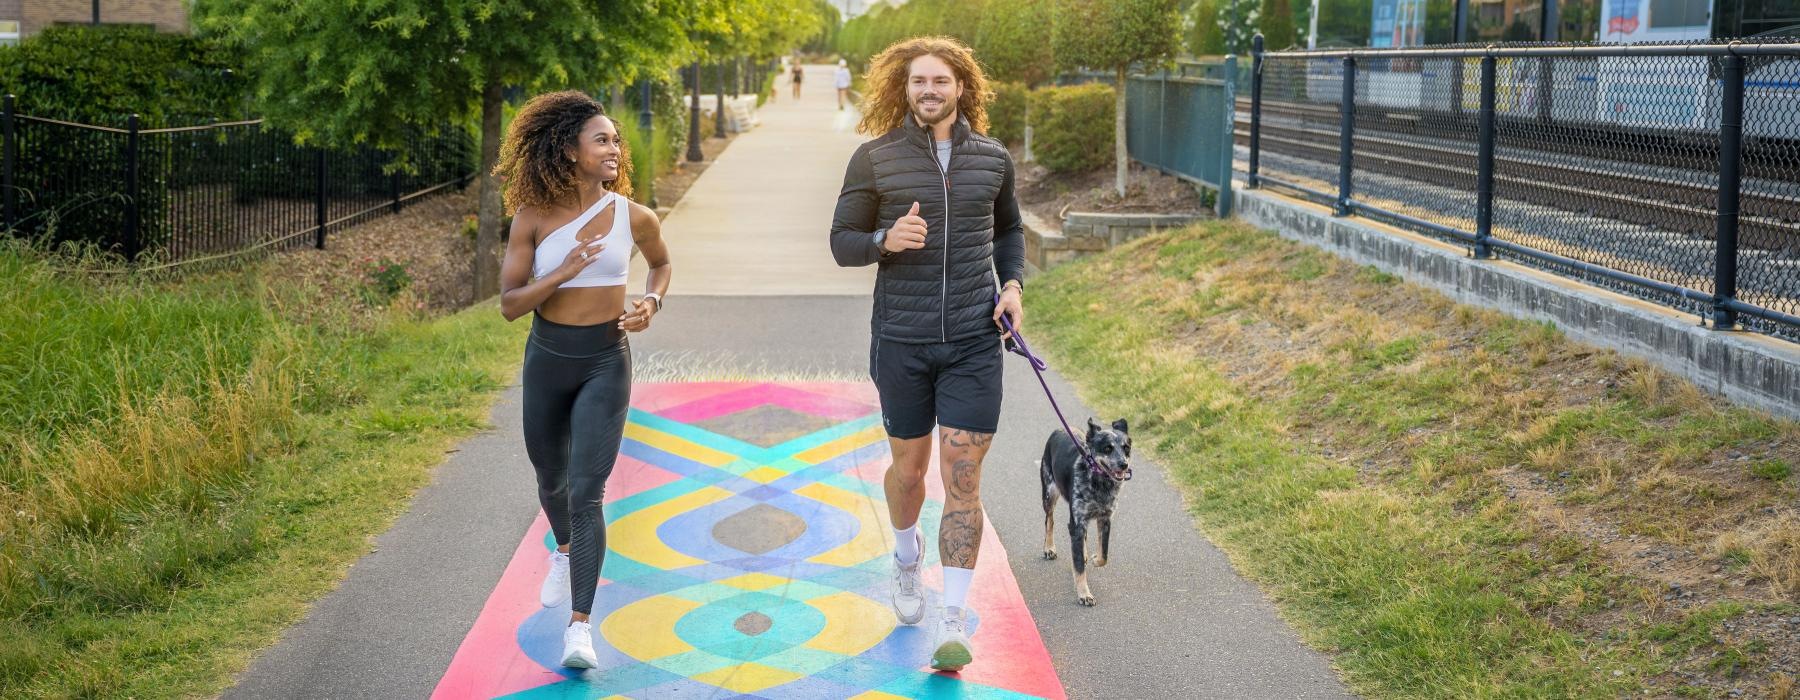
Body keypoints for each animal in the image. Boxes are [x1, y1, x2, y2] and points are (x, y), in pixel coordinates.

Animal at [1036, 417, 1130, 601]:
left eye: (1126, 448)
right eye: (1107, 448)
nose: (1124, 464)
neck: (1100, 484)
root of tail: (1059, 429)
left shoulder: (1105, 519)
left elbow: (1104, 554)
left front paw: (1094, 559)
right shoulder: (1076, 523)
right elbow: (1078, 567)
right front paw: (1084, 594)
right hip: (1050, 494)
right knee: (1049, 520)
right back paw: (1049, 548)